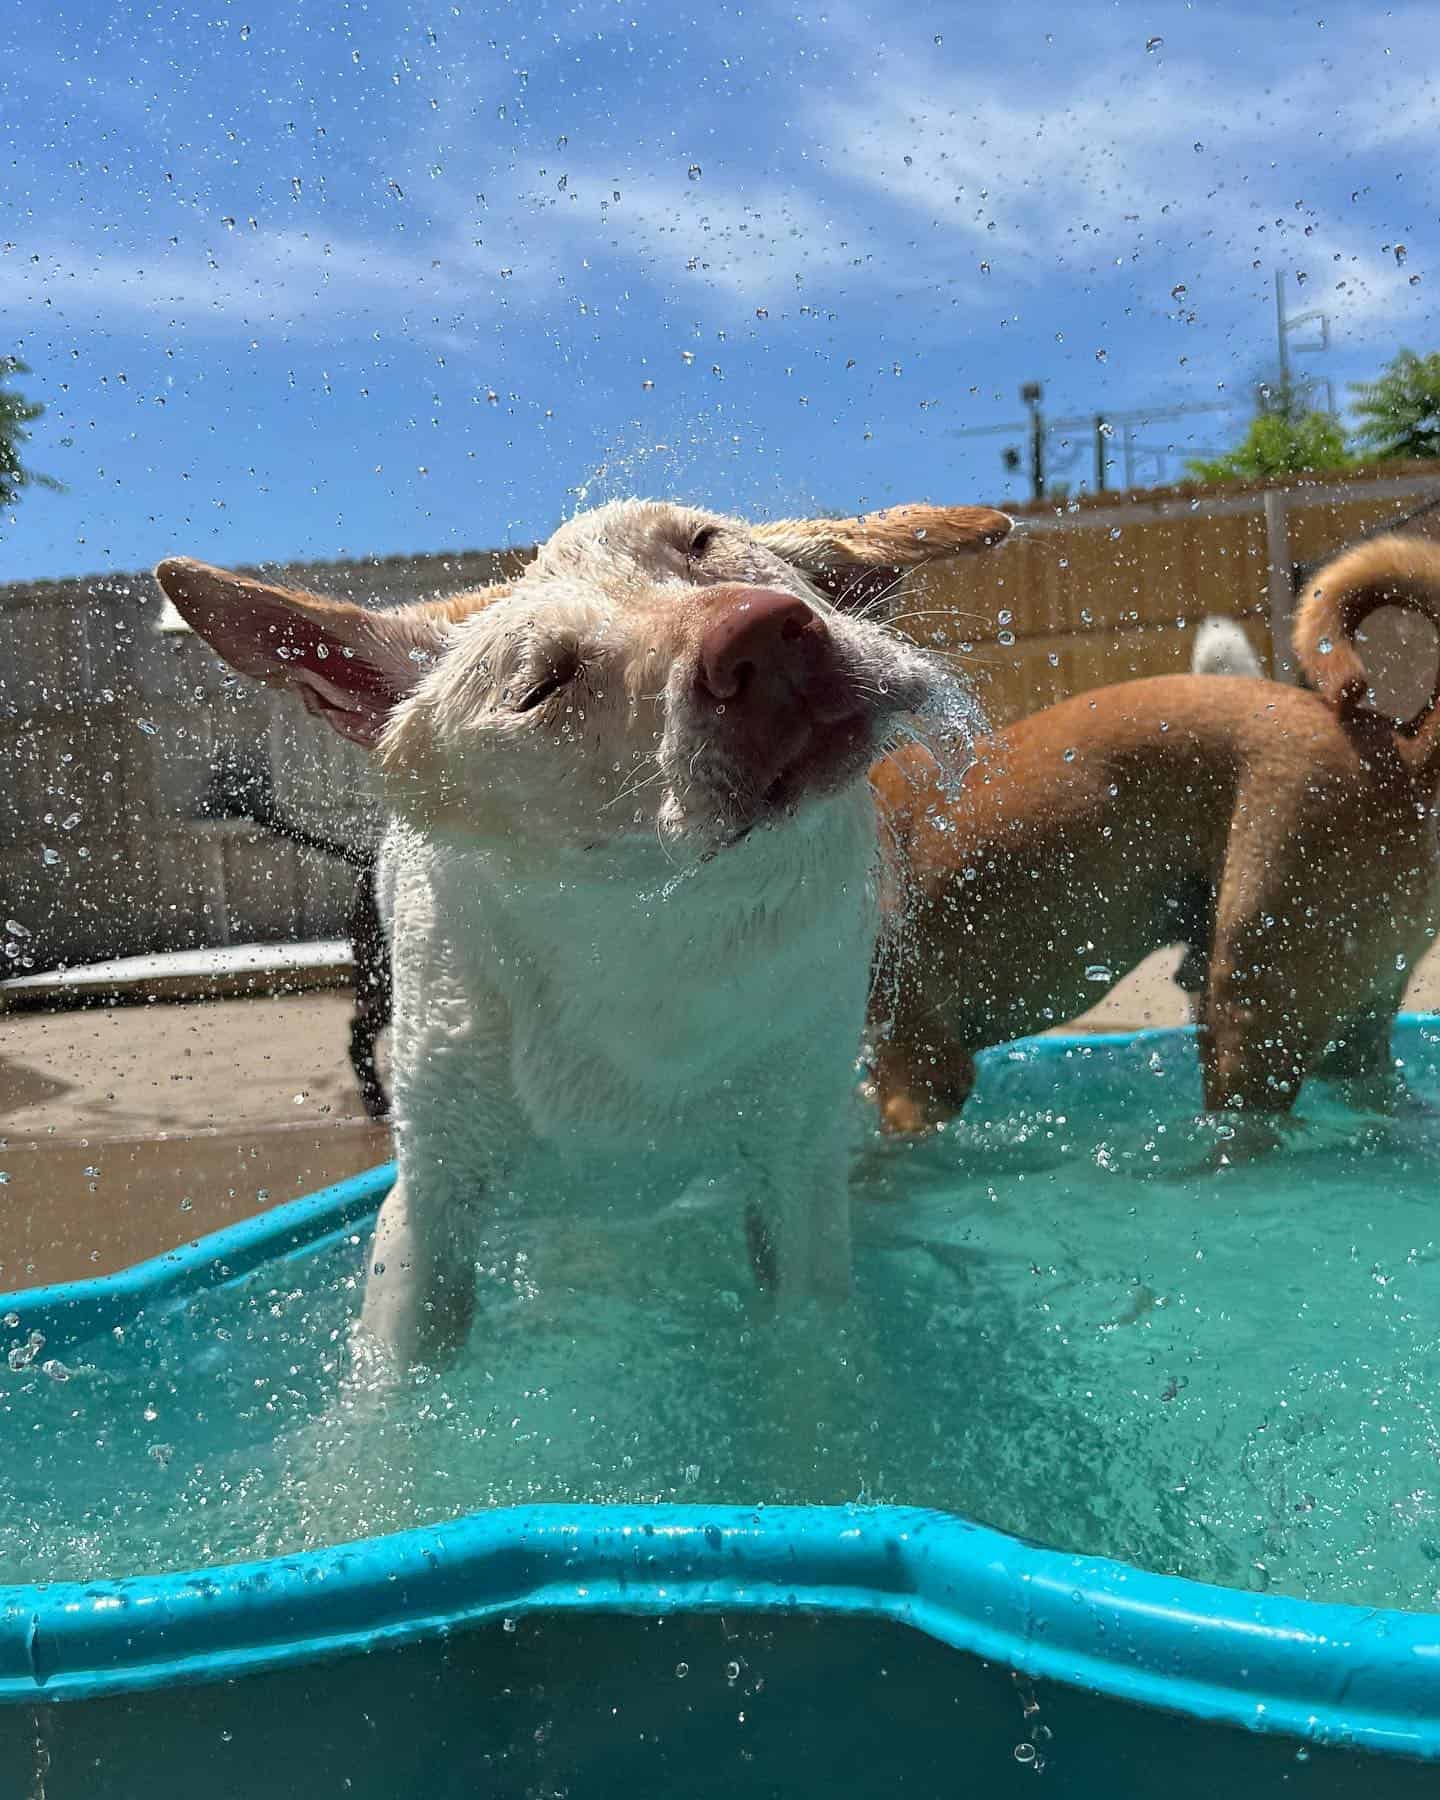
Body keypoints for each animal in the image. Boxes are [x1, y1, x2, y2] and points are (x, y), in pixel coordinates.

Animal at [157, 496, 1015, 1360]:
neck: (654, 929)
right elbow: (398, 1377)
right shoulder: (426, 1211)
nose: (761, 637)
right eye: (542, 684)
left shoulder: (797, 1166)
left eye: (702, 542)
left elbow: (810, 1342)